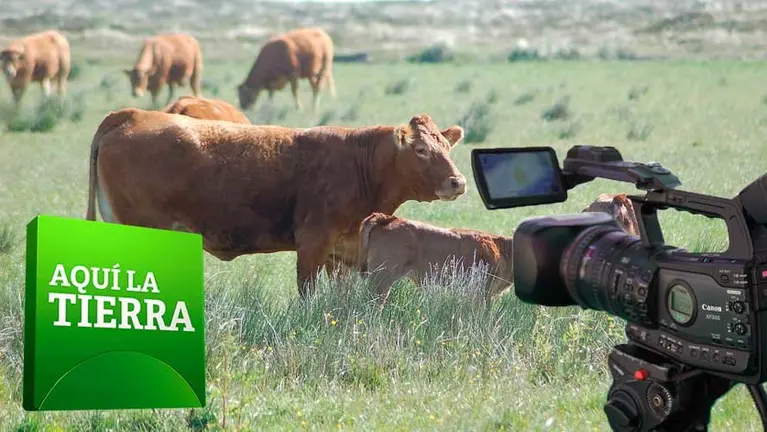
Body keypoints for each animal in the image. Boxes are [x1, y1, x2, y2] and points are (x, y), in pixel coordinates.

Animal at [85, 110, 467, 298]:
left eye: (447, 147)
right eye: (421, 150)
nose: (458, 182)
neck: (358, 165)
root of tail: (132, 115)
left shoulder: (343, 252)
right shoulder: (312, 244)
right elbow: (308, 294)